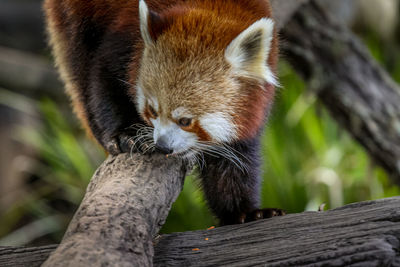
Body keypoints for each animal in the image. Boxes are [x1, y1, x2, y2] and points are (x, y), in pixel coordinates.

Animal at [44, 0, 282, 226]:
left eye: (185, 121)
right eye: (152, 110)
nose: (163, 146)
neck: (211, 10)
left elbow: (234, 160)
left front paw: (246, 212)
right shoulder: (123, 37)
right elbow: (103, 79)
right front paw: (125, 134)